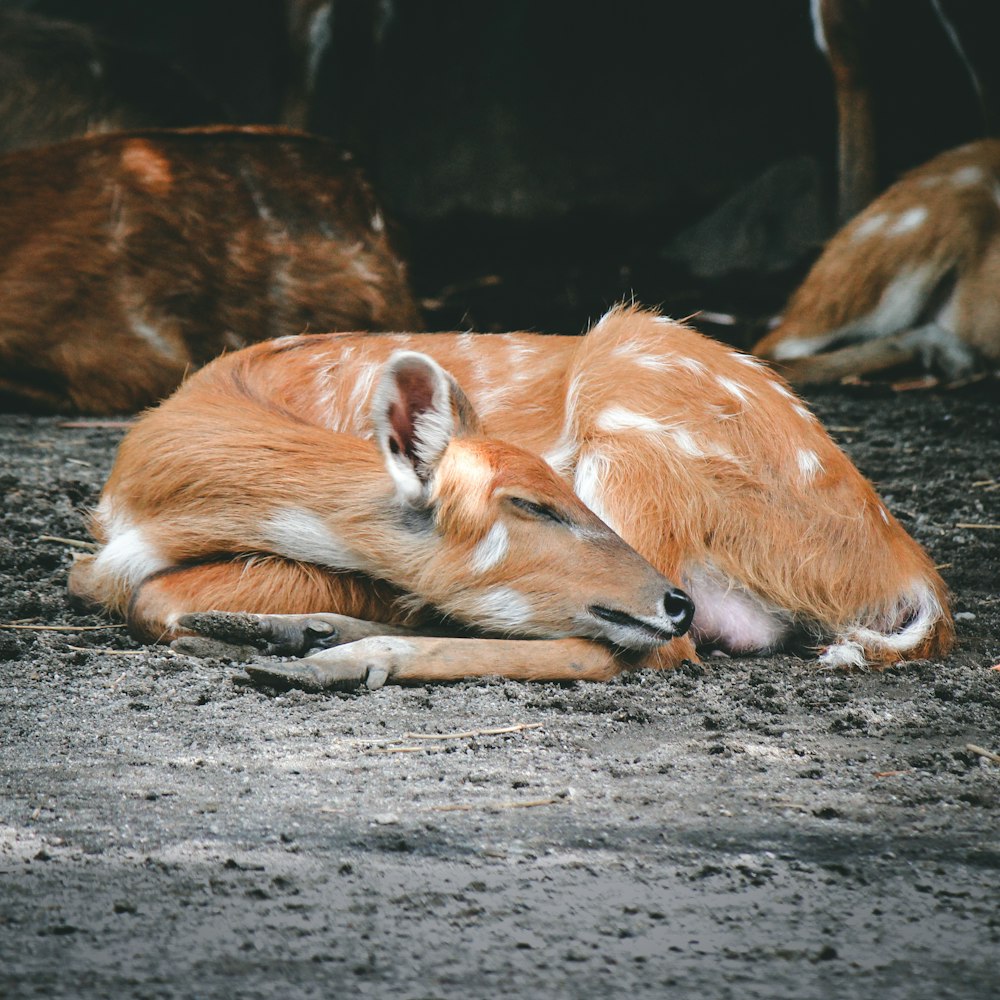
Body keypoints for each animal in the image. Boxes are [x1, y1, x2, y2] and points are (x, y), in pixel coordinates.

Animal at [70, 304, 952, 688]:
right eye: (534, 503)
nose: (670, 600)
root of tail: (911, 576)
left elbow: (158, 597)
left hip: (634, 433)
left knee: (648, 648)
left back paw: (331, 656)